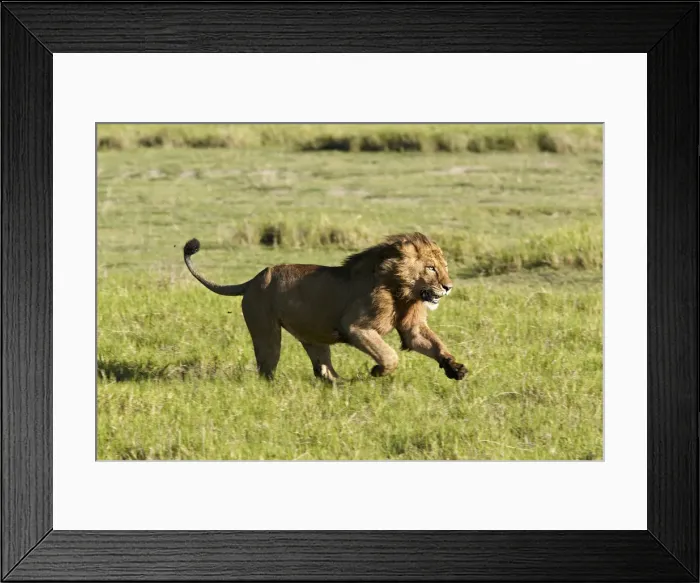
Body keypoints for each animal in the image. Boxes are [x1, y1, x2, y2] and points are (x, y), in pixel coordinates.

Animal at [183, 232, 467, 382]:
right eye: (431, 268)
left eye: (444, 267)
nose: (448, 286)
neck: (402, 291)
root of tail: (252, 280)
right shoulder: (355, 327)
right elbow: (389, 355)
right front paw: (377, 371)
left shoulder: (412, 327)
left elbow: (435, 345)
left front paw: (455, 368)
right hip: (266, 332)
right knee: (267, 365)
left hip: (313, 337)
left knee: (323, 369)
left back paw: (339, 385)